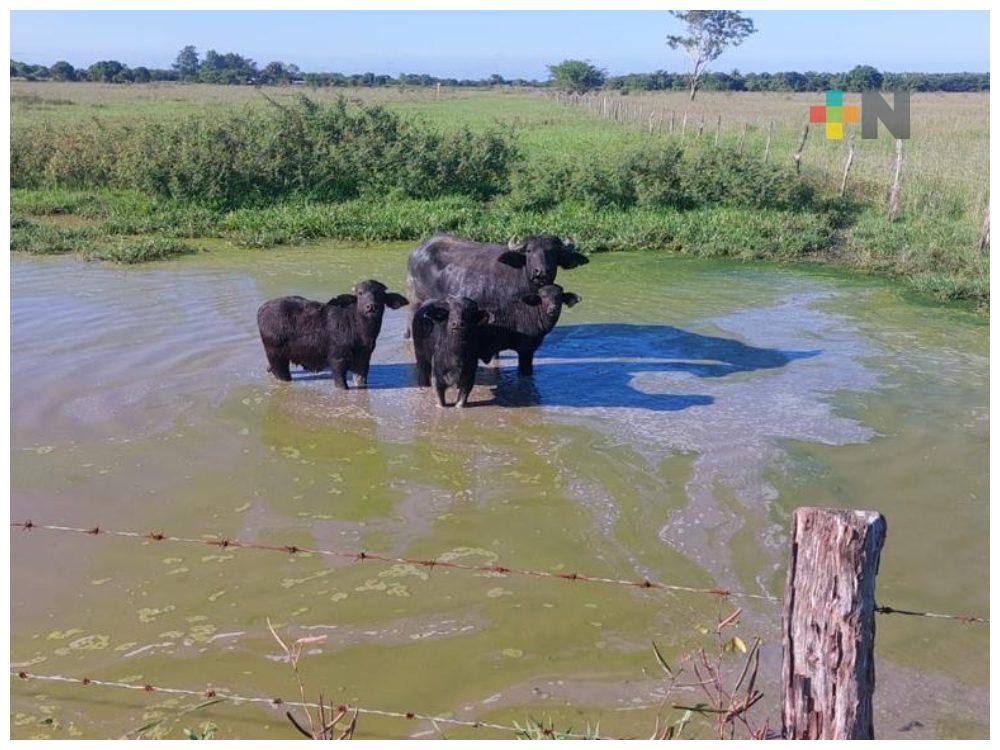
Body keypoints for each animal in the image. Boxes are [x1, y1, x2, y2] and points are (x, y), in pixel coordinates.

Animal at [257, 280, 407, 389]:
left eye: (380, 294)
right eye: (360, 293)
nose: (371, 307)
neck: (360, 332)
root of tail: (262, 309)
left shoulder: (364, 360)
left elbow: (361, 382)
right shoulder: (337, 361)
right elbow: (342, 385)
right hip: (277, 357)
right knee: (282, 375)